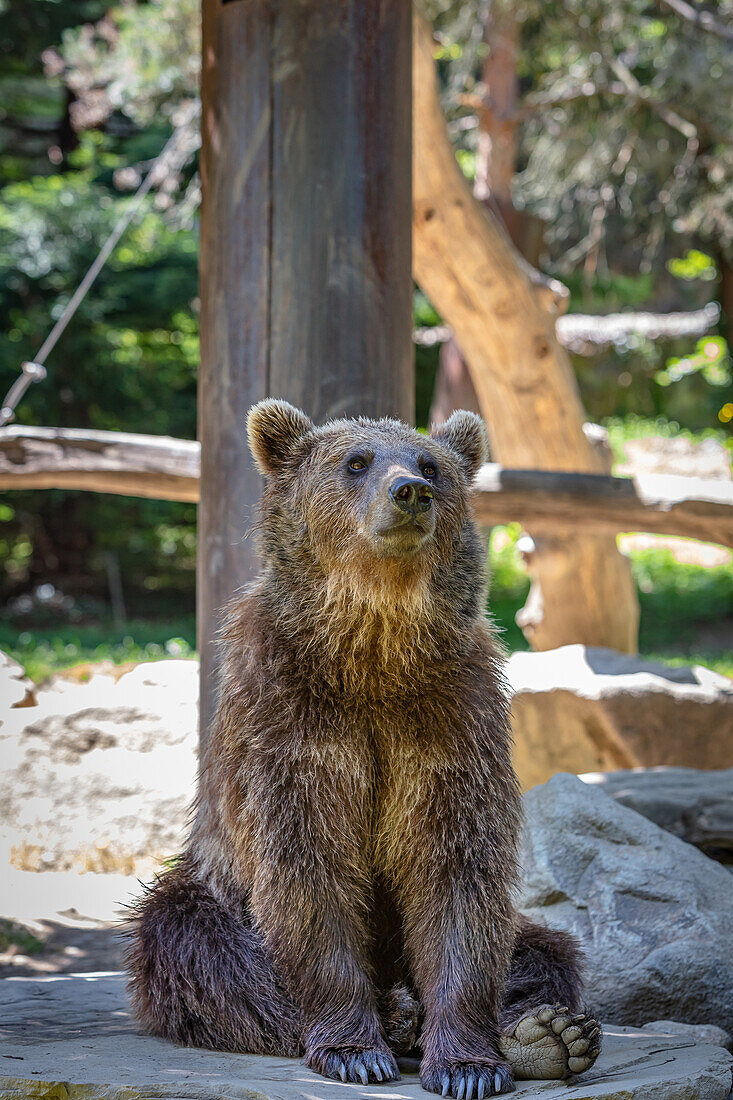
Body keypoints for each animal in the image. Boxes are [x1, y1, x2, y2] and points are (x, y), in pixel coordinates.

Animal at [125, 402, 603, 1091]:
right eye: (356, 462)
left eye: (431, 464)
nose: (411, 491)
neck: (372, 650)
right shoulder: (292, 719)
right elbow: (309, 868)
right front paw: (354, 1048)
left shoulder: (448, 717)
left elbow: (457, 873)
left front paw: (469, 1063)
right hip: (213, 887)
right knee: (192, 944)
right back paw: (398, 1018)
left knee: (543, 951)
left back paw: (545, 1034)